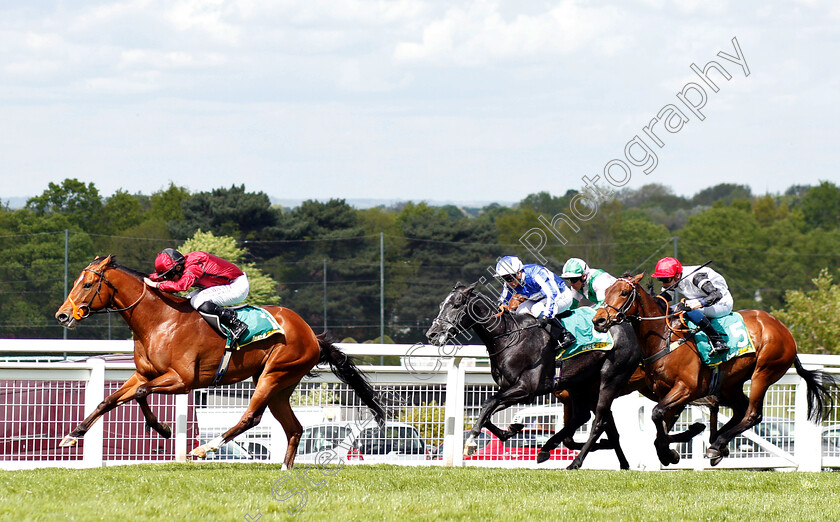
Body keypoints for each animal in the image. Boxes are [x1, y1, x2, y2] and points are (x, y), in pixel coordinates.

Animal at [49, 256, 384, 468]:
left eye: (87, 285)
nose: (62, 315)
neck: (159, 320)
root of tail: (312, 335)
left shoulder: (182, 380)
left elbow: (143, 395)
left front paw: (164, 429)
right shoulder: (144, 374)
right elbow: (109, 401)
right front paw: (71, 436)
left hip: (273, 375)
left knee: (251, 417)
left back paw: (205, 447)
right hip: (281, 385)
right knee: (295, 428)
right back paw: (284, 469)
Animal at [426, 282, 644, 470]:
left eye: (456, 305)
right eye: (441, 305)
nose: (432, 334)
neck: (509, 336)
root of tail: (626, 327)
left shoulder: (526, 388)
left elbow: (488, 403)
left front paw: (471, 441)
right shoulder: (510, 388)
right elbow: (488, 409)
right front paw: (511, 430)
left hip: (610, 378)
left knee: (599, 421)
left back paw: (575, 462)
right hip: (578, 383)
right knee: (582, 416)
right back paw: (551, 448)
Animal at [592, 272, 836, 464]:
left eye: (624, 293)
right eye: (606, 291)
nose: (599, 320)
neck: (664, 337)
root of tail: (785, 331)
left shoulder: (686, 388)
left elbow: (656, 413)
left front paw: (675, 447)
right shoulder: (666, 392)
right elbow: (661, 422)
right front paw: (670, 451)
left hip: (764, 372)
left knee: (752, 414)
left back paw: (717, 444)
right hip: (731, 383)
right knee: (740, 409)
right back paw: (717, 444)